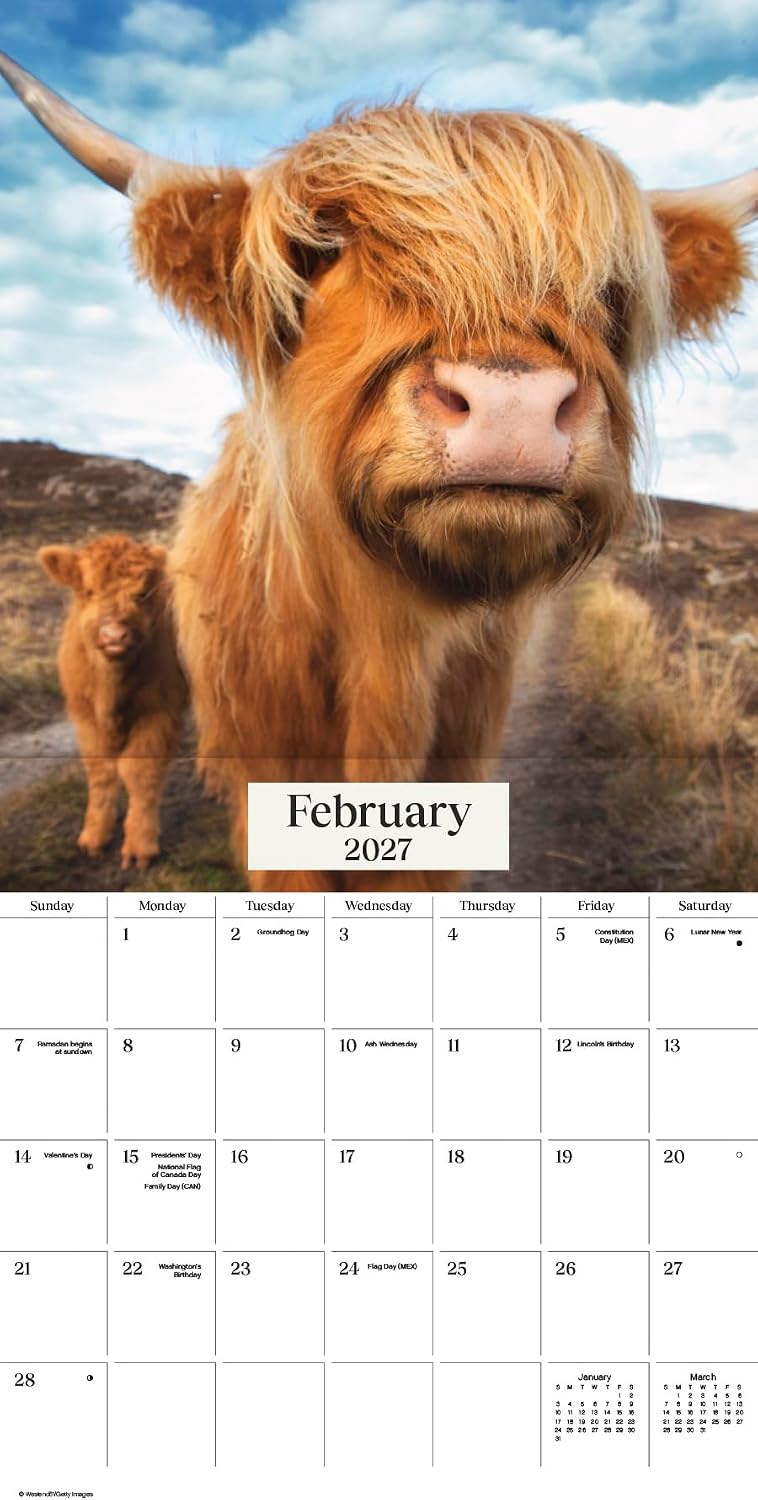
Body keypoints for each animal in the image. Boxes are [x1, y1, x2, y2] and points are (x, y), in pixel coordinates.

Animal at [38, 534, 187, 870]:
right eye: (88, 592)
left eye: (141, 594)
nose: (114, 636)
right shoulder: (84, 715)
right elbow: (101, 770)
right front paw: (94, 836)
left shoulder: (160, 712)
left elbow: (139, 772)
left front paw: (140, 846)